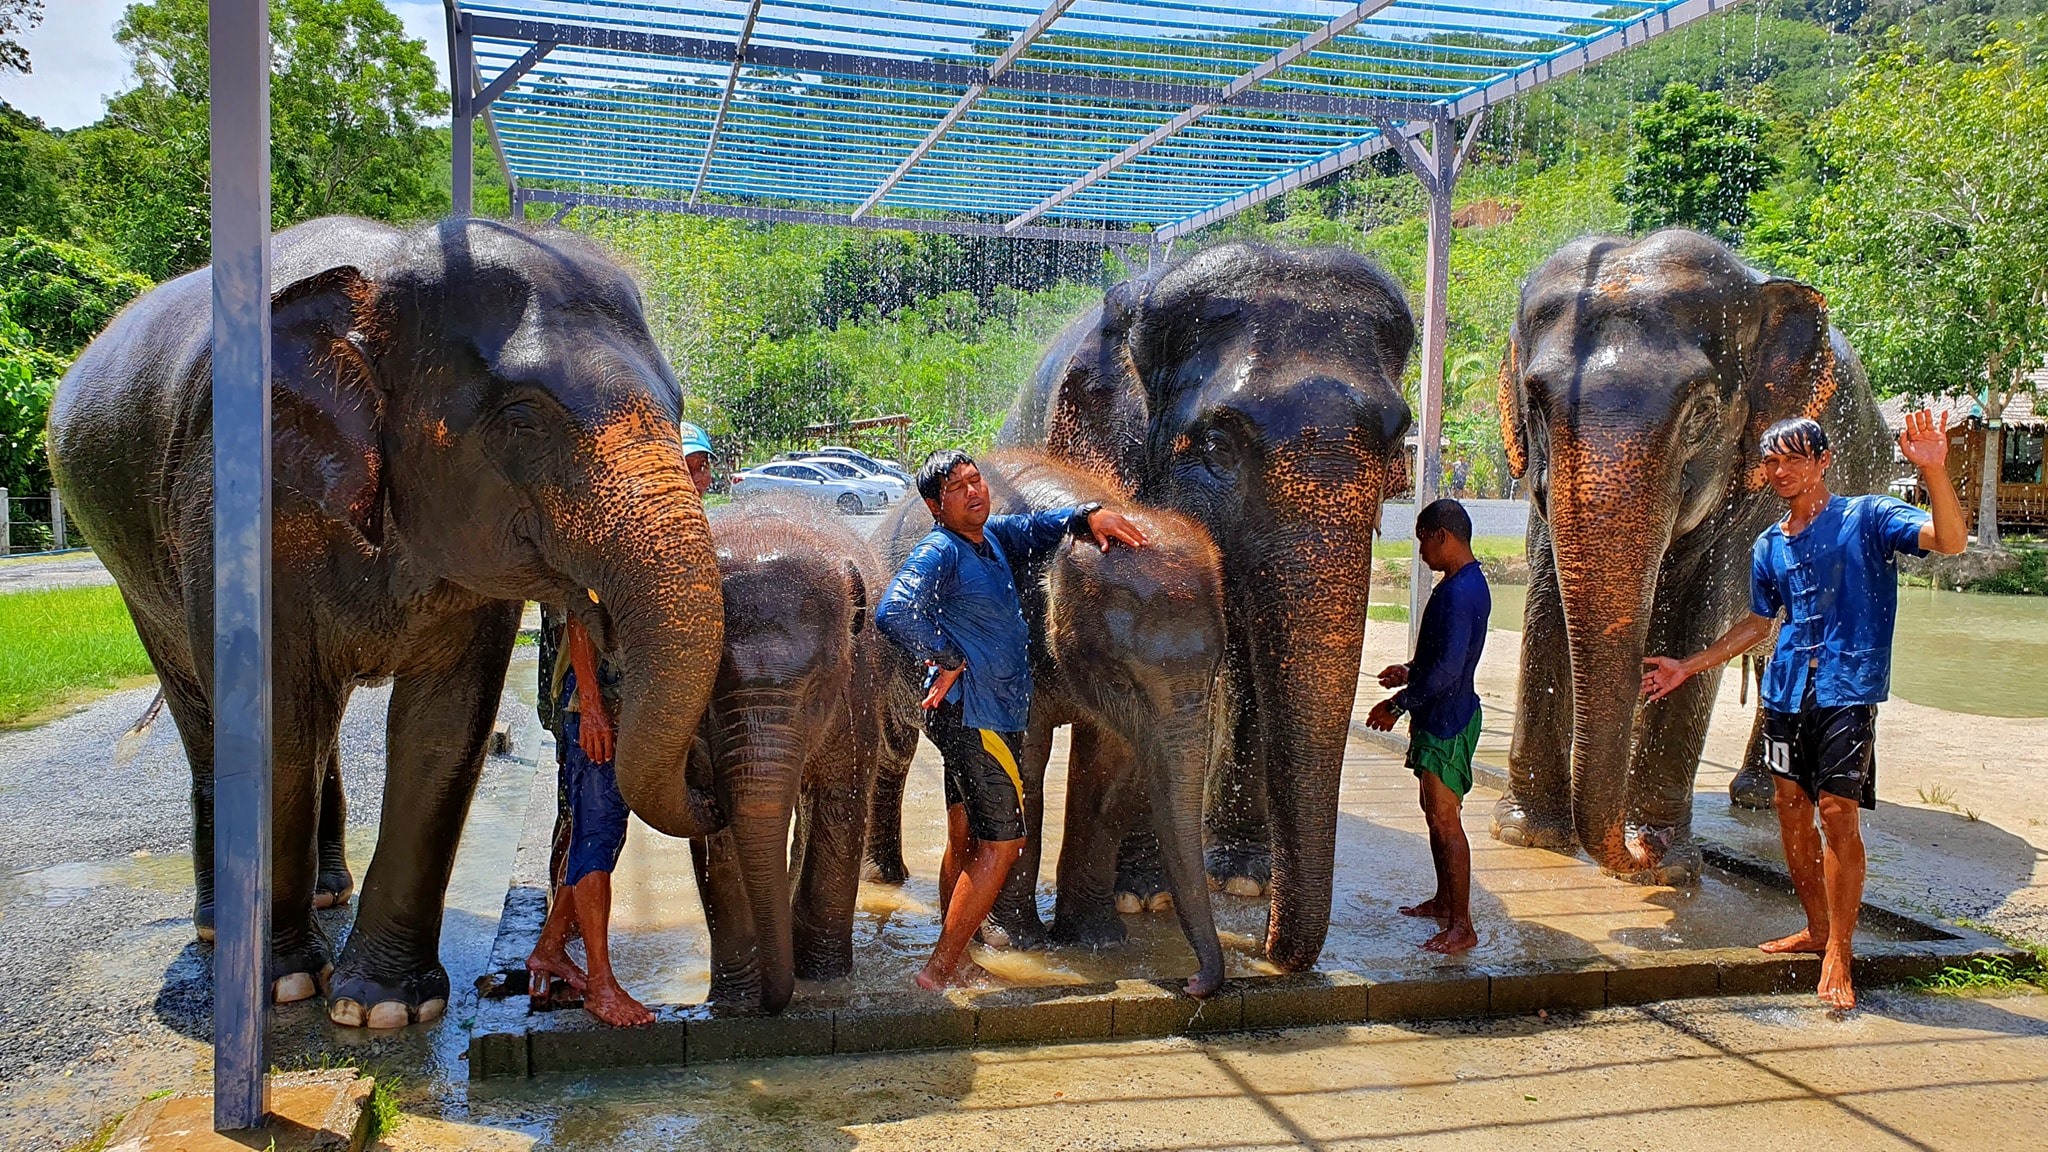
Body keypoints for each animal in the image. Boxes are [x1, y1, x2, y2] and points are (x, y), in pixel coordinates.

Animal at [49, 213, 729, 1020]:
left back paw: (328, 892)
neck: (390, 263)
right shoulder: (232, 498)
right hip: (132, 569)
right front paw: (284, 985)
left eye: (679, 404)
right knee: (211, 714)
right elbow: (274, 722)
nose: (714, 802)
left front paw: (384, 1007)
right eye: (521, 417)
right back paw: (221, 930)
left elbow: (446, 725)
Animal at [692, 498, 884, 1008]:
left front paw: (825, 981)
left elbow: (843, 800)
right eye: (707, 697)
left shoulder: (857, 689)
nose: (771, 1003)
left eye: (816, 688)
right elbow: (716, 835)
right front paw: (734, 1002)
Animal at [1490, 226, 1884, 877]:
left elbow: (1699, 619)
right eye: (1536, 401)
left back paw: (1764, 798)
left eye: (1701, 412)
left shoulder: (1753, 481)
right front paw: (1527, 835)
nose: (1635, 852)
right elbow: (1547, 607)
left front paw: (1669, 865)